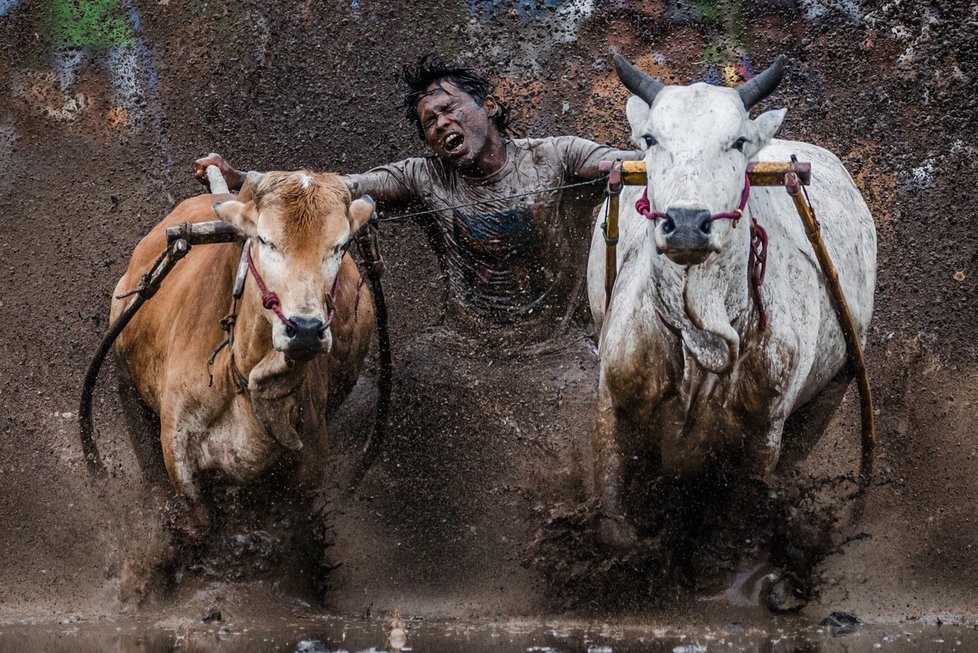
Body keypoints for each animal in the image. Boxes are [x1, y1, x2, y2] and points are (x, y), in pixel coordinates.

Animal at [112, 169, 376, 524]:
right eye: (265, 240)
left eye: (341, 245)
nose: (305, 330)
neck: (241, 373)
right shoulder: (183, 471)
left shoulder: (305, 481)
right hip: (129, 390)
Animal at [588, 53, 876, 548]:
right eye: (651, 139)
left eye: (739, 142)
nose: (687, 223)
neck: (701, 339)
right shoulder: (614, 407)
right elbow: (616, 521)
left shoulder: (764, 435)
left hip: (831, 390)